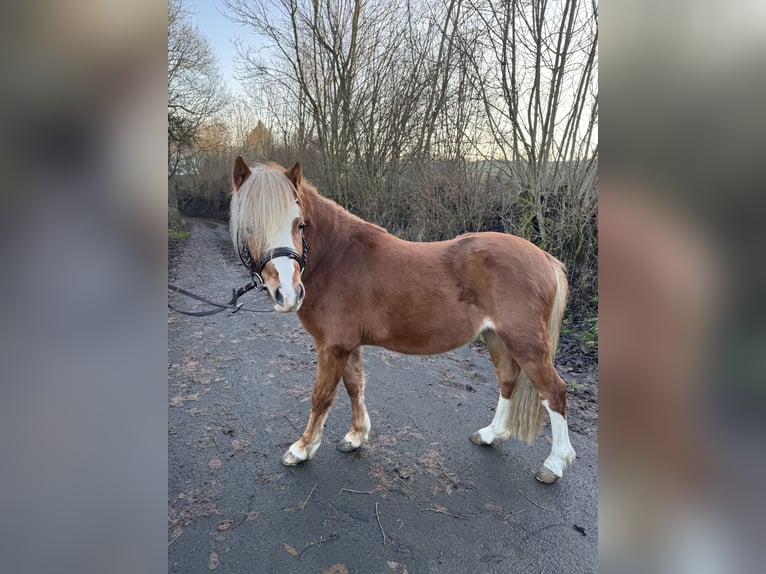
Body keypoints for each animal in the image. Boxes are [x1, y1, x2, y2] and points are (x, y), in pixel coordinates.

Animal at [228, 158, 576, 486]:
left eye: (300, 224)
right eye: (249, 228)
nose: (287, 294)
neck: (337, 258)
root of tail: (546, 258)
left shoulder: (333, 346)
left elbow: (322, 396)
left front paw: (302, 449)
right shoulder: (348, 345)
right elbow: (355, 386)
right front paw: (356, 436)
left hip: (526, 342)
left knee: (554, 392)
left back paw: (553, 465)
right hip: (496, 337)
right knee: (508, 380)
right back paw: (491, 435)